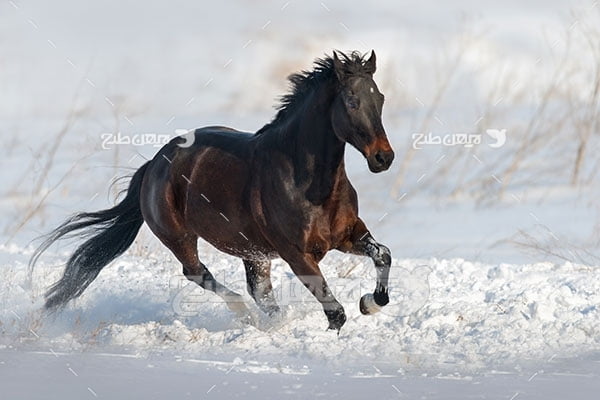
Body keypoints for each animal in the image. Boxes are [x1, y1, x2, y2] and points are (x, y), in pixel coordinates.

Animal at [34, 50, 398, 332]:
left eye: (380, 98)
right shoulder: (297, 253)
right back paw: (244, 316)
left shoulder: (349, 236)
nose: (384, 157)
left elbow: (383, 254)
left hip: (254, 253)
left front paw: (370, 303)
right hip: (180, 238)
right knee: (200, 274)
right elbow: (335, 313)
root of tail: (154, 164)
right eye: (351, 101)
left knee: (260, 293)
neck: (310, 186)